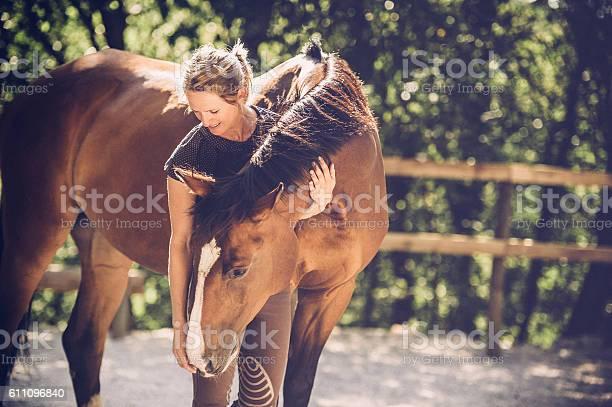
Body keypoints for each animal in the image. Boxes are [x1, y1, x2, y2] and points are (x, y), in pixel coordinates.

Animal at [0, 39, 388, 406]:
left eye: (239, 270)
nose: (200, 358)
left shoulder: (331, 293)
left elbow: (297, 385)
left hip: (104, 252)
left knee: (83, 340)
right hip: (33, 236)